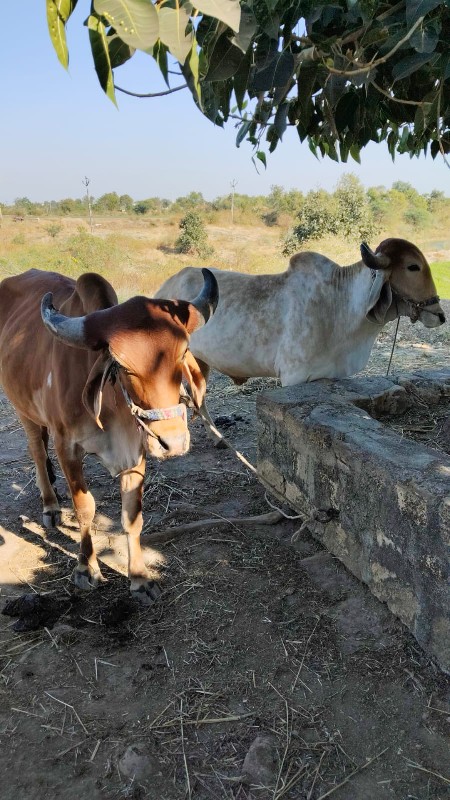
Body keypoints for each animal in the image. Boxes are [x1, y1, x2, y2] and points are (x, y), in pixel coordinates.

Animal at [0, 268, 218, 600]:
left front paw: (140, 577)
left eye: (183, 353)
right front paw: (86, 568)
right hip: (23, 410)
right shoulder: (67, 447)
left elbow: (132, 516)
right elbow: (85, 509)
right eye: (122, 365)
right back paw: (50, 504)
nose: (173, 442)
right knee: (37, 450)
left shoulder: (135, 449)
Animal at [156, 238, 444, 440]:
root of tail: (164, 287)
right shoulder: (294, 376)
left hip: (199, 361)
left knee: (199, 398)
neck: (340, 303)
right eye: (413, 267)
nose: (440, 314)